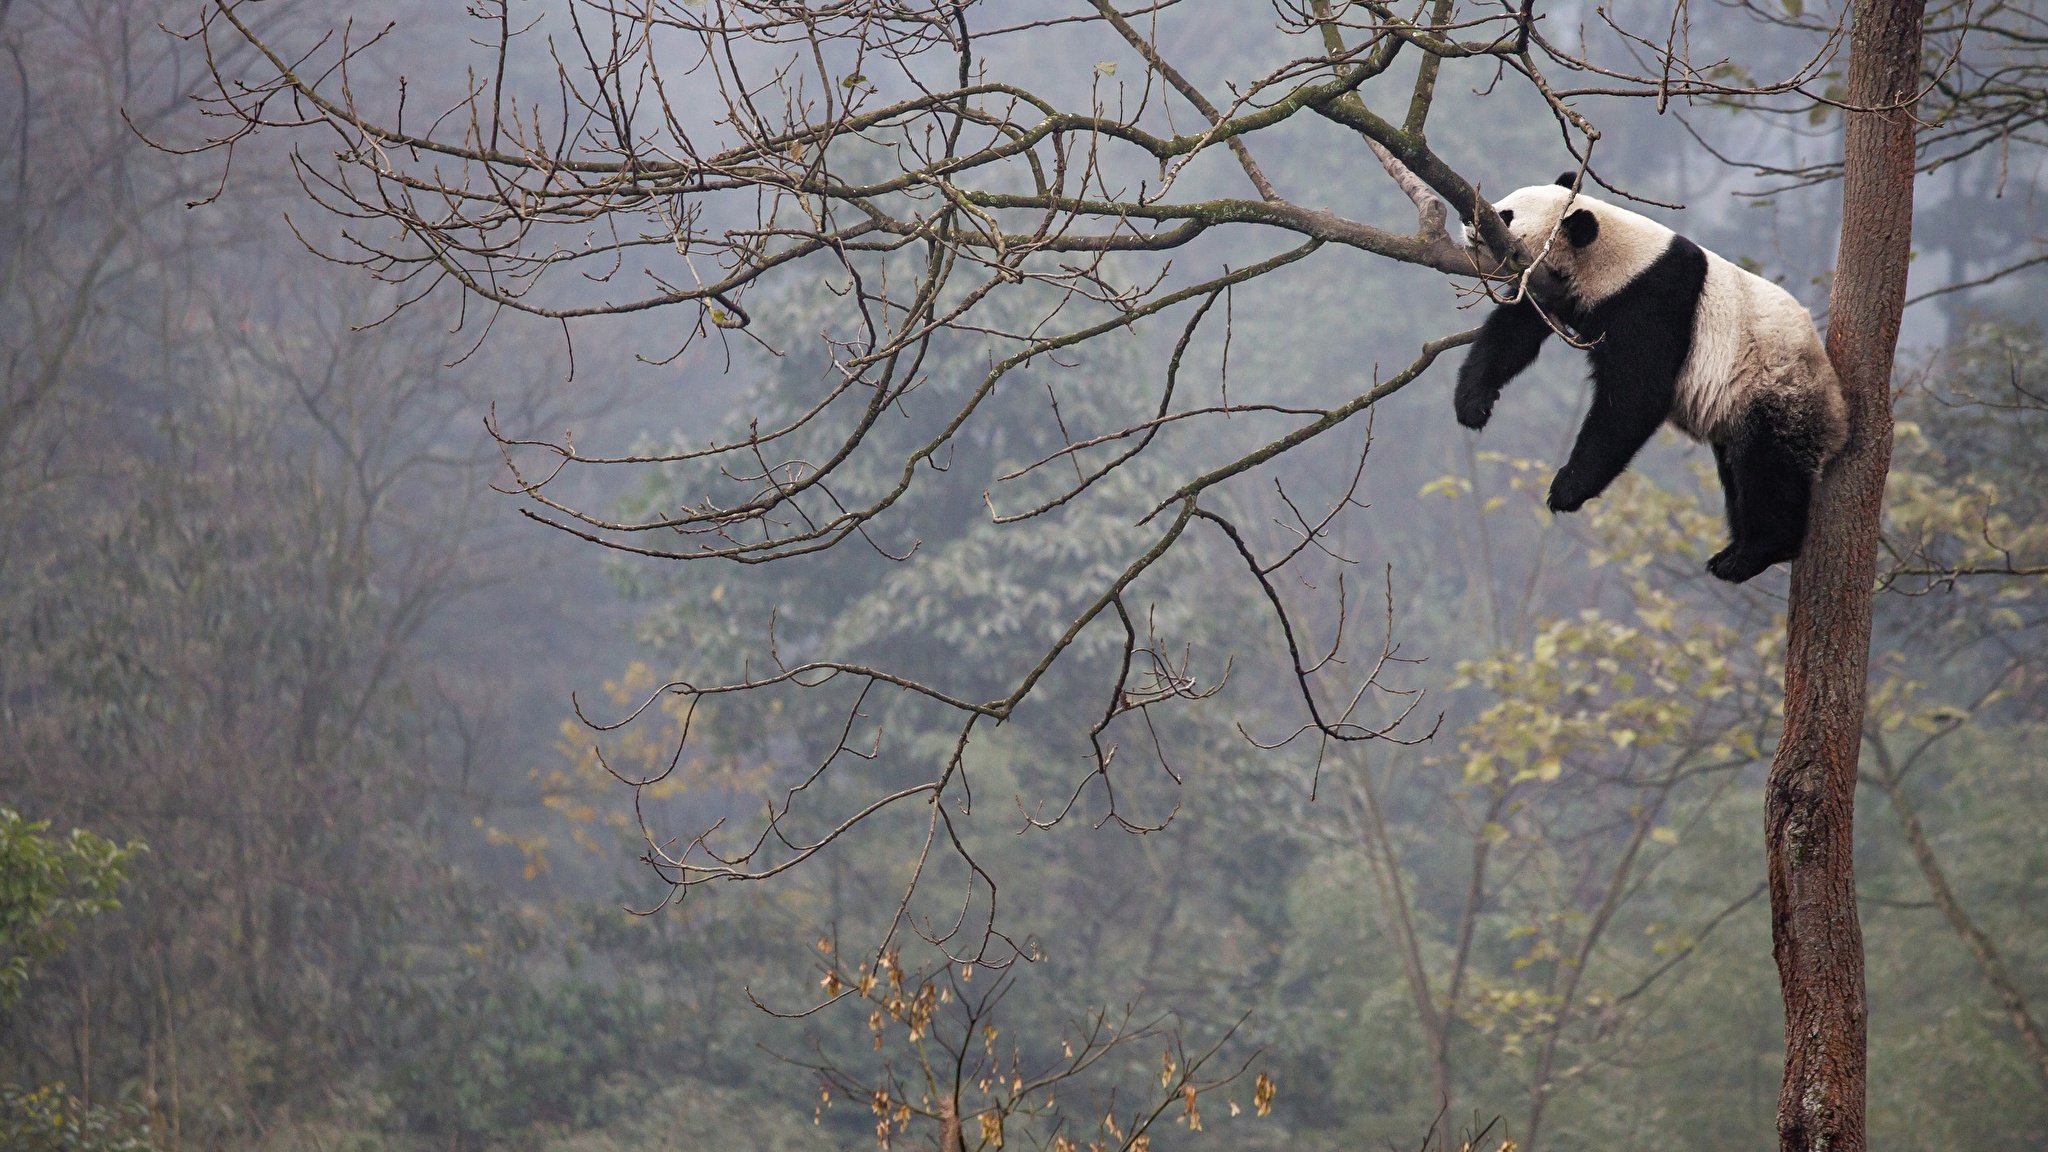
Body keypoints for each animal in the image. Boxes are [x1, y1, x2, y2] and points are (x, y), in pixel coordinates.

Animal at [1449, 177, 1851, 582]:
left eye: (1505, 215)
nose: (1467, 219)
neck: (1615, 257)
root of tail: (1840, 421)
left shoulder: (1652, 302)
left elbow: (1634, 397)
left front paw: (1567, 489)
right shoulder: (1553, 287)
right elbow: (1515, 330)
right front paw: (1473, 403)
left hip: (1777, 388)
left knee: (1769, 470)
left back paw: (1752, 554)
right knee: (1737, 473)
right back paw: (1732, 553)